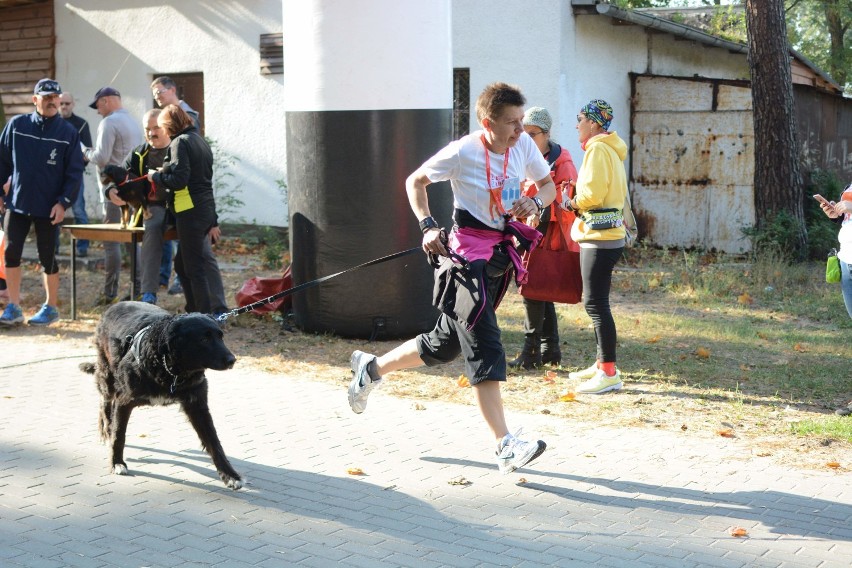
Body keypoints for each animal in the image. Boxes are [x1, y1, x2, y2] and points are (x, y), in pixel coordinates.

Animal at [80, 302, 243, 488]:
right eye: (204, 339)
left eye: (221, 336)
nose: (232, 360)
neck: (171, 370)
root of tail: (115, 305)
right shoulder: (124, 400)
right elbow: (118, 435)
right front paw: (117, 463)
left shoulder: (197, 405)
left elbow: (214, 442)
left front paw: (230, 475)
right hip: (108, 376)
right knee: (105, 403)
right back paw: (105, 430)